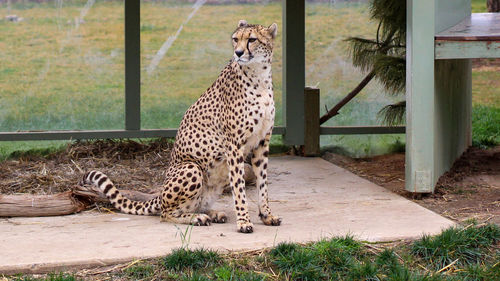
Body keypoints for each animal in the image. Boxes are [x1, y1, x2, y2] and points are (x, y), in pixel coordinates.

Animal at [84, 20, 284, 232]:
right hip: (191, 167)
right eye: (235, 39)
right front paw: (244, 221)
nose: (238, 52)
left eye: (252, 39)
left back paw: (211, 213)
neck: (259, 75)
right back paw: (197, 218)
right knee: (165, 214)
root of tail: (160, 195)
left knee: (194, 205)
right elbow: (239, 187)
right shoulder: (234, 146)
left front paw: (267, 215)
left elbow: (263, 183)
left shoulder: (262, 143)